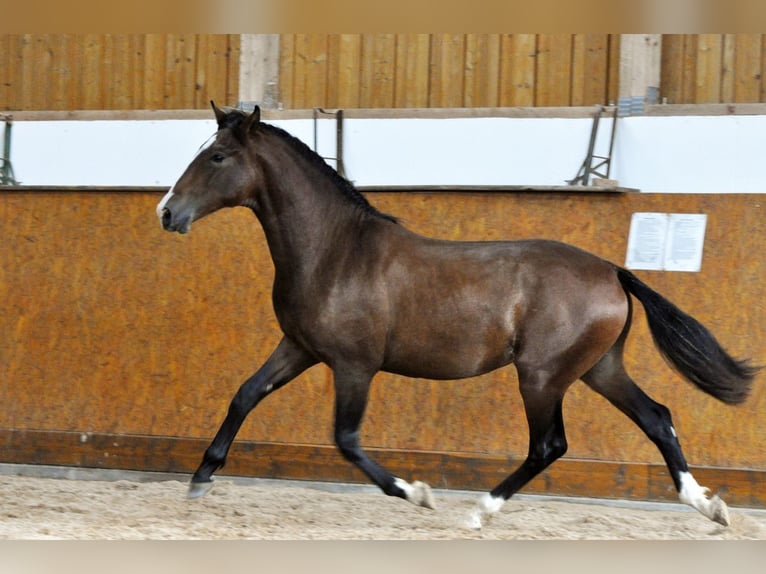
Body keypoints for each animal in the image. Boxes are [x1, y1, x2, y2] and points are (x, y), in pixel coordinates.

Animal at [154, 102, 756, 532]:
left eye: (217, 157)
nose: (167, 212)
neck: (335, 250)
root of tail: (612, 271)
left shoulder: (353, 365)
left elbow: (346, 439)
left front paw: (416, 494)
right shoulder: (298, 348)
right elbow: (244, 395)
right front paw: (200, 478)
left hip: (542, 377)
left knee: (549, 445)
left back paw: (479, 510)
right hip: (597, 369)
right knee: (657, 417)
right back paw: (707, 506)